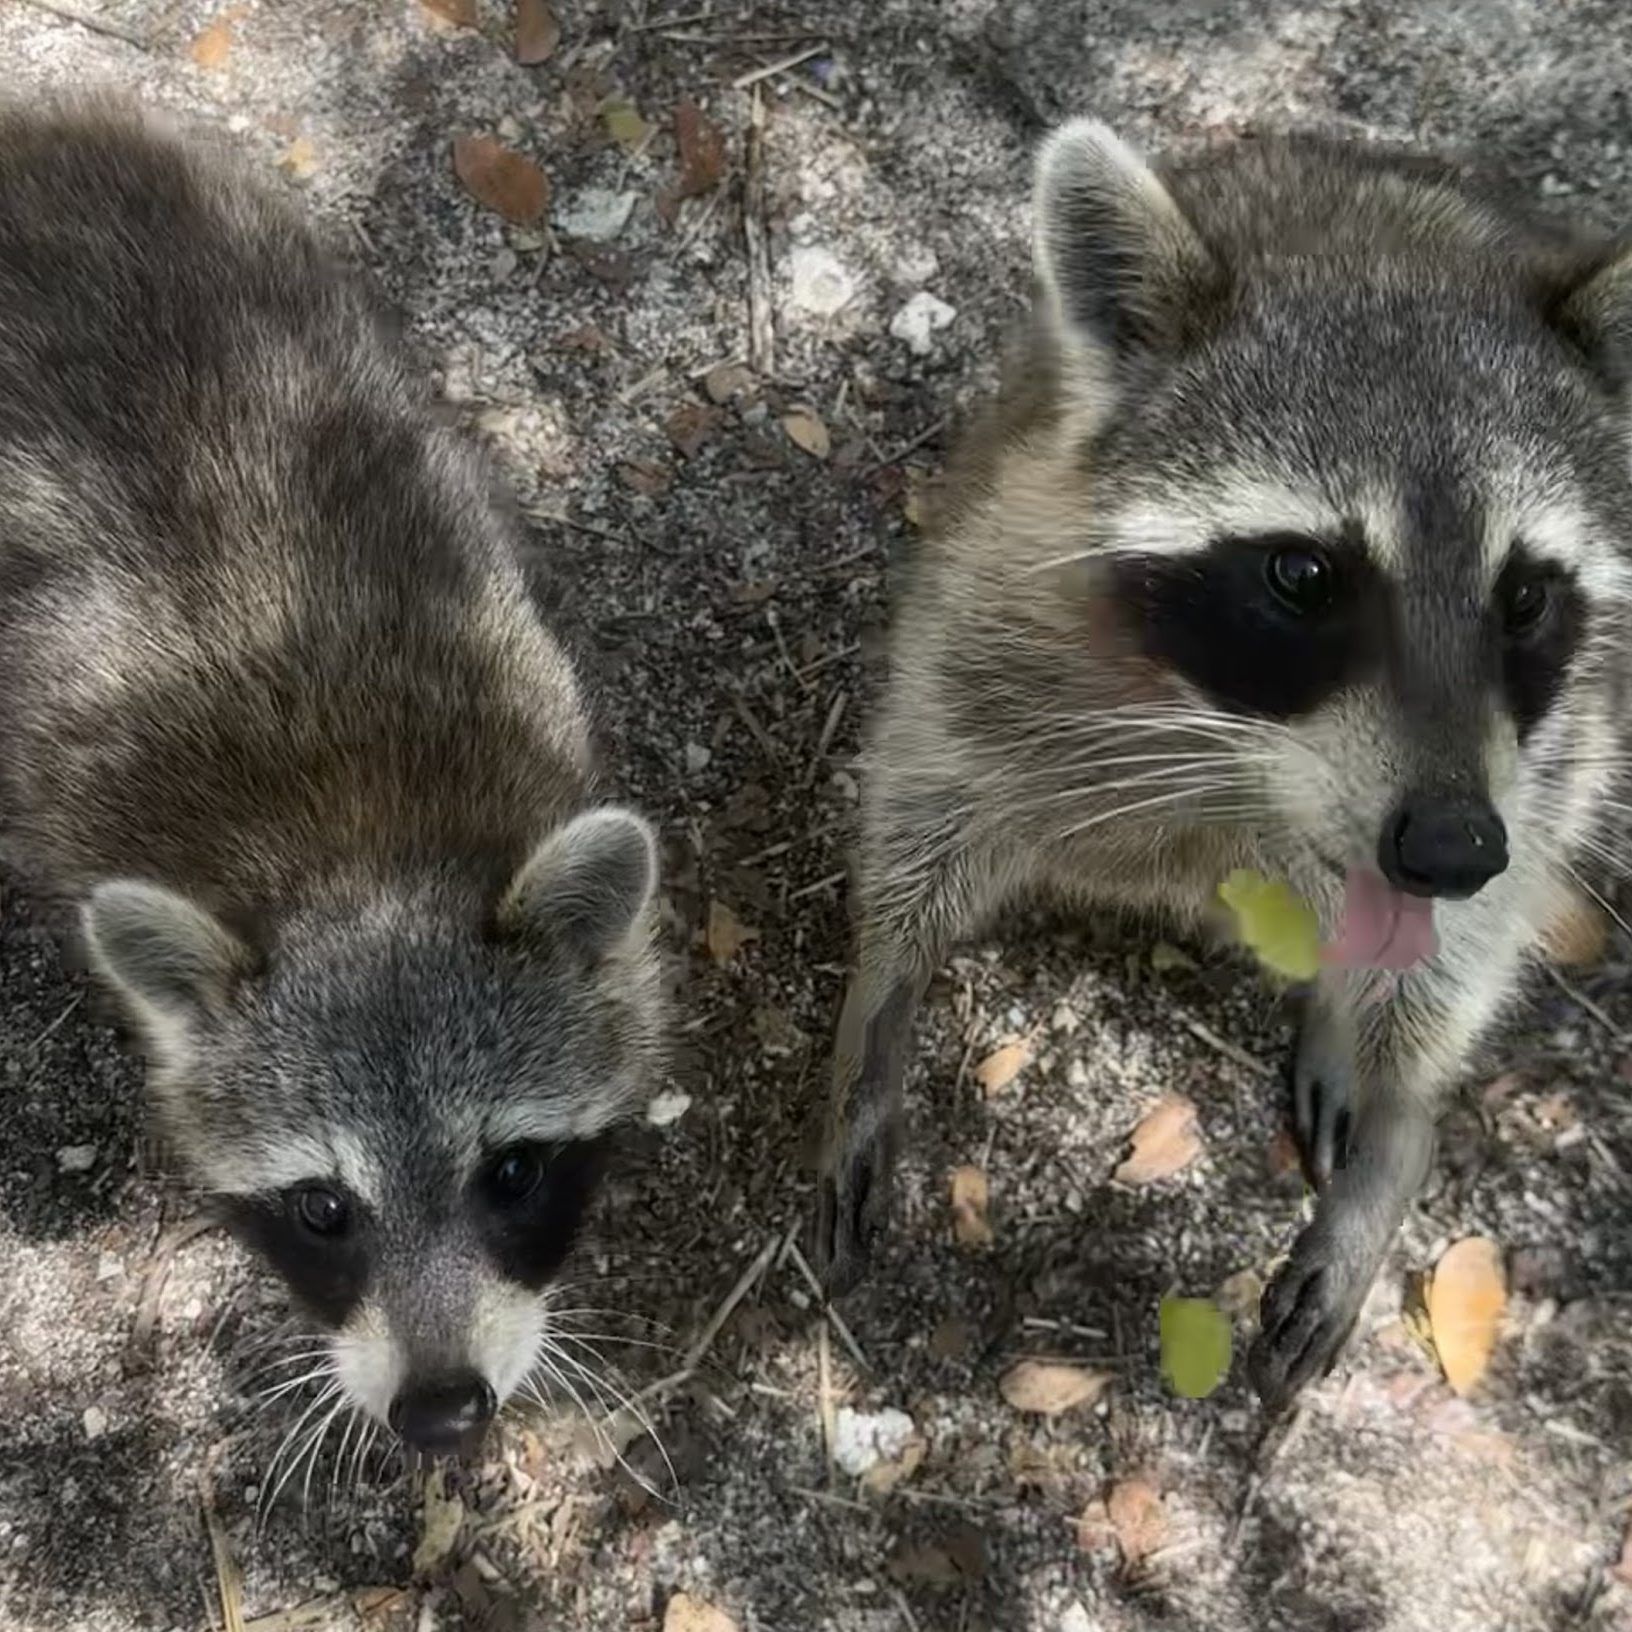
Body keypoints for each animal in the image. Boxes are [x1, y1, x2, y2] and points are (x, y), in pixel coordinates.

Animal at [817, 119, 1632, 1408]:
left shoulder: (1535, 781)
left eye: (1525, 598)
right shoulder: (989, 611)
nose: (1450, 846)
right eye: (1305, 575)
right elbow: (921, 812)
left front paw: (1405, 1117)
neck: (1245, 756)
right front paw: (878, 1003)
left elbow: (1456, 947)